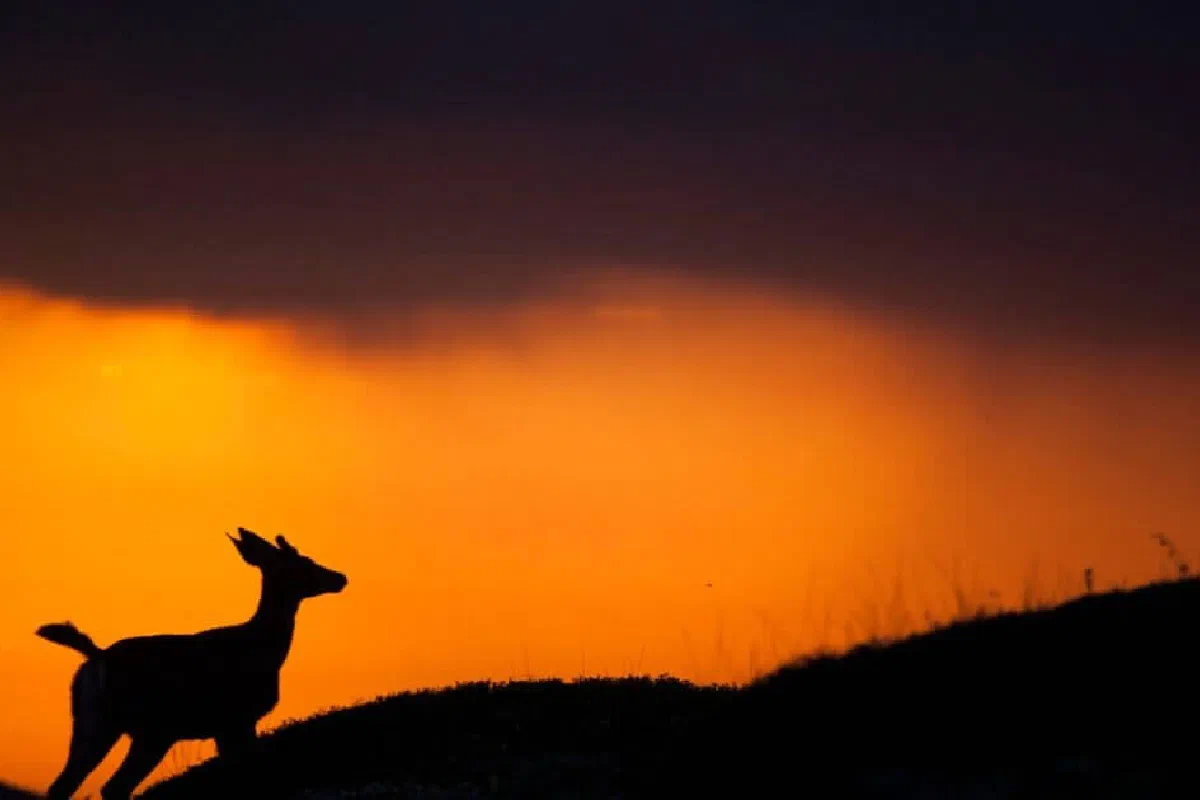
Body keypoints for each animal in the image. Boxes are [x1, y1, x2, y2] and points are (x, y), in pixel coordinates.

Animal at [36, 527, 348, 799]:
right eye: (303, 563)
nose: (340, 577)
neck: (263, 651)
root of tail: (96, 657)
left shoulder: (228, 725)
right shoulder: (236, 718)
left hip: (99, 723)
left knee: (81, 785)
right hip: (141, 728)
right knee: (98, 786)